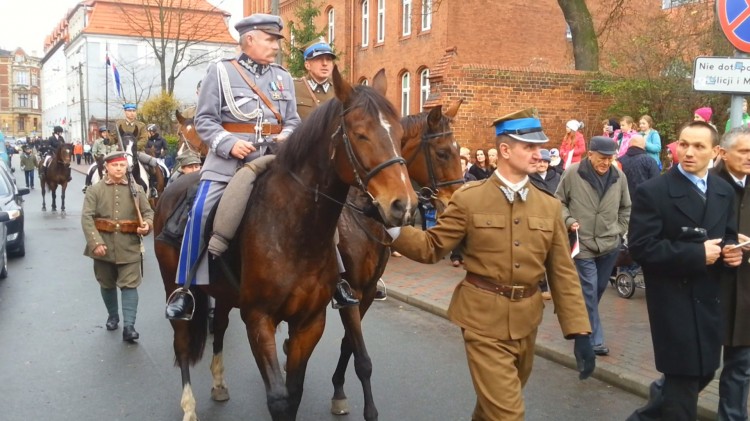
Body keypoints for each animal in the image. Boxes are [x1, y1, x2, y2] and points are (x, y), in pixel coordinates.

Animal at [152, 67, 418, 418]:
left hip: (223, 292)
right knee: (182, 343)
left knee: (219, 326)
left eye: (400, 135)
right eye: (360, 134)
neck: (296, 232)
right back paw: (189, 406)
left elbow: (297, 390)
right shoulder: (258, 318)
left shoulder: (311, 321)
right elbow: (279, 398)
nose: (404, 205)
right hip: (174, 284)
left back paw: (219, 384)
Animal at [334, 97, 468, 416]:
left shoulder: (366, 292)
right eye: (442, 153)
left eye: (459, 150)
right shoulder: (350, 290)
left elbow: (349, 344)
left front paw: (338, 389)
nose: (456, 202)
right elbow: (360, 355)